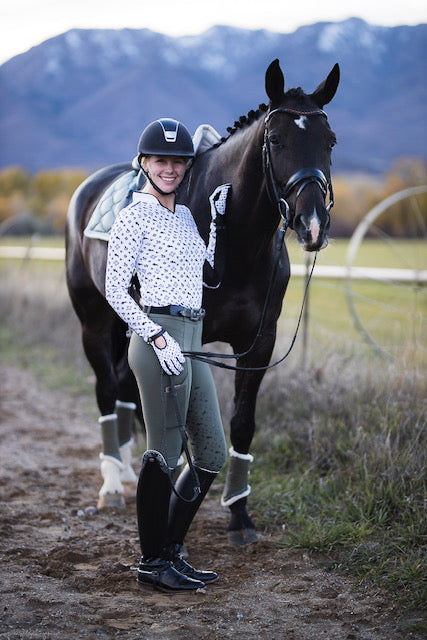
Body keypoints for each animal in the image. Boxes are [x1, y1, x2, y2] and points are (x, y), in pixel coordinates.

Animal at [66, 57, 342, 544]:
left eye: (329, 140)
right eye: (276, 139)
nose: (312, 224)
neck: (240, 245)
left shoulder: (259, 343)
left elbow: (242, 425)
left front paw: (239, 515)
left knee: (124, 386)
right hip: (95, 323)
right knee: (106, 389)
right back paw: (112, 483)